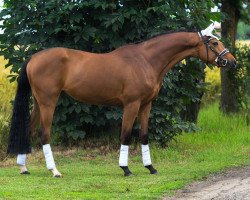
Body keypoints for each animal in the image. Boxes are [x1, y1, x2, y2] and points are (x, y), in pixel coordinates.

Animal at [7, 24, 236, 177]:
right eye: (214, 42)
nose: (232, 62)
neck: (146, 60)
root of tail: (33, 58)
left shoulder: (146, 105)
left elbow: (144, 135)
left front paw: (150, 167)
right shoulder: (131, 104)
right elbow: (125, 134)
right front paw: (126, 168)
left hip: (38, 103)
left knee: (28, 130)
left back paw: (24, 168)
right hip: (48, 102)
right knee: (43, 134)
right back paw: (54, 170)